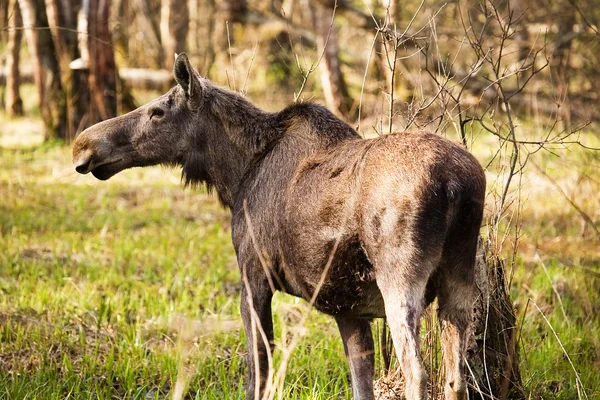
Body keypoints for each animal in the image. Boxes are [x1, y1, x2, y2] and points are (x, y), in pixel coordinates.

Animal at [74, 54, 488, 400]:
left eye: (158, 111)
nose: (83, 145)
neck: (234, 174)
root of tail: (456, 185)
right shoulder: (348, 308)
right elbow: (360, 382)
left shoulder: (254, 276)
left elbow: (258, 374)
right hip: (459, 279)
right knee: (456, 377)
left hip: (400, 280)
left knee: (418, 373)